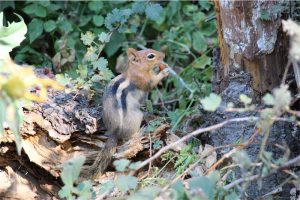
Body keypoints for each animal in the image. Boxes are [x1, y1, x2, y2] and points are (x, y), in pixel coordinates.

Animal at [88, 48, 170, 178]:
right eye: (151, 56)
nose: (163, 55)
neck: (135, 70)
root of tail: (115, 133)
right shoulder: (144, 80)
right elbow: (152, 83)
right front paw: (164, 71)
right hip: (138, 116)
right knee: (132, 136)